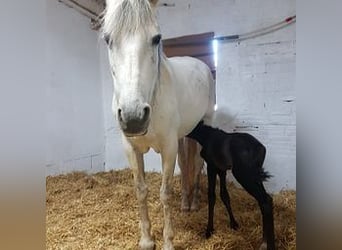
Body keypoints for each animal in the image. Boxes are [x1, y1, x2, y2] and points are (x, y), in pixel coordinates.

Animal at [101, 0, 215, 249]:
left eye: (156, 38)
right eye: (107, 39)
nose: (133, 117)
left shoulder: (168, 148)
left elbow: (165, 192)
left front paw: (168, 241)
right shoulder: (131, 149)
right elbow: (141, 190)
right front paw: (146, 240)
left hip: (204, 126)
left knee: (198, 163)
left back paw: (194, 203)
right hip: (184, 135)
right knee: (185, 164)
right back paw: (185, 204)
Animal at [187, 120, 276, 249]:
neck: (207, 136)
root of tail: (261, 149)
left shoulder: (212, 167)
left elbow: (212, 196)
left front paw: (209, 230)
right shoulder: (222, 170)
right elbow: (225, 195)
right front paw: (233, 224)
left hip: (244, 176)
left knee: (265, 201)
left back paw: (265, 244)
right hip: (255, 177)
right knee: (265, 200)